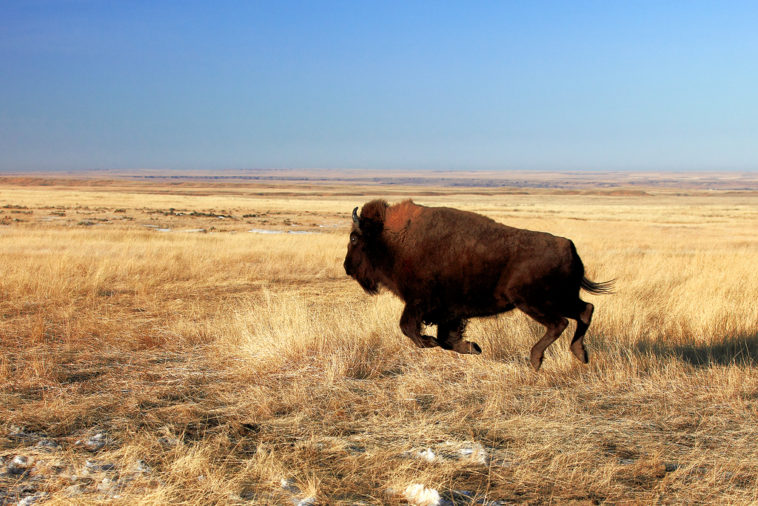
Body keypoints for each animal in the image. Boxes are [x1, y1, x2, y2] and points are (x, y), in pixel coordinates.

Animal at [343, 199, 613, 371]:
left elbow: (409, 328)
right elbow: (447, 340)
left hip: (532, 302)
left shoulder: (420, 303)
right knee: (585, 310)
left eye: (355, 238)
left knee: (560, 323)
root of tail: (569, 246)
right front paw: (473, 347)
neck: (394, 239)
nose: (347, 267)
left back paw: (536, 361)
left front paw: (432, 343)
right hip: (560, 299)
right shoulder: (448, 313)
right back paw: (581, 354)